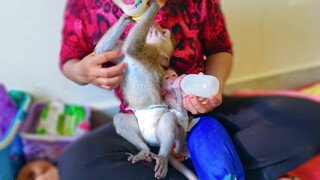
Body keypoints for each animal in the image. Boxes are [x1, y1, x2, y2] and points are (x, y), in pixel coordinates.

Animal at [94, 0, 196, 179]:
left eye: (164, 33)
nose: (156, 26)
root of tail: (154, 143)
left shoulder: (148, 52)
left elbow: (132, 47)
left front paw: (154, 6)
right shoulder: (122, 54)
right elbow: (102, 50)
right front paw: (127, 16)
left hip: (159, 132)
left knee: (169, 119)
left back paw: (166, 155)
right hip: (142, 133)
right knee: (120, 120)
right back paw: (143, 151)